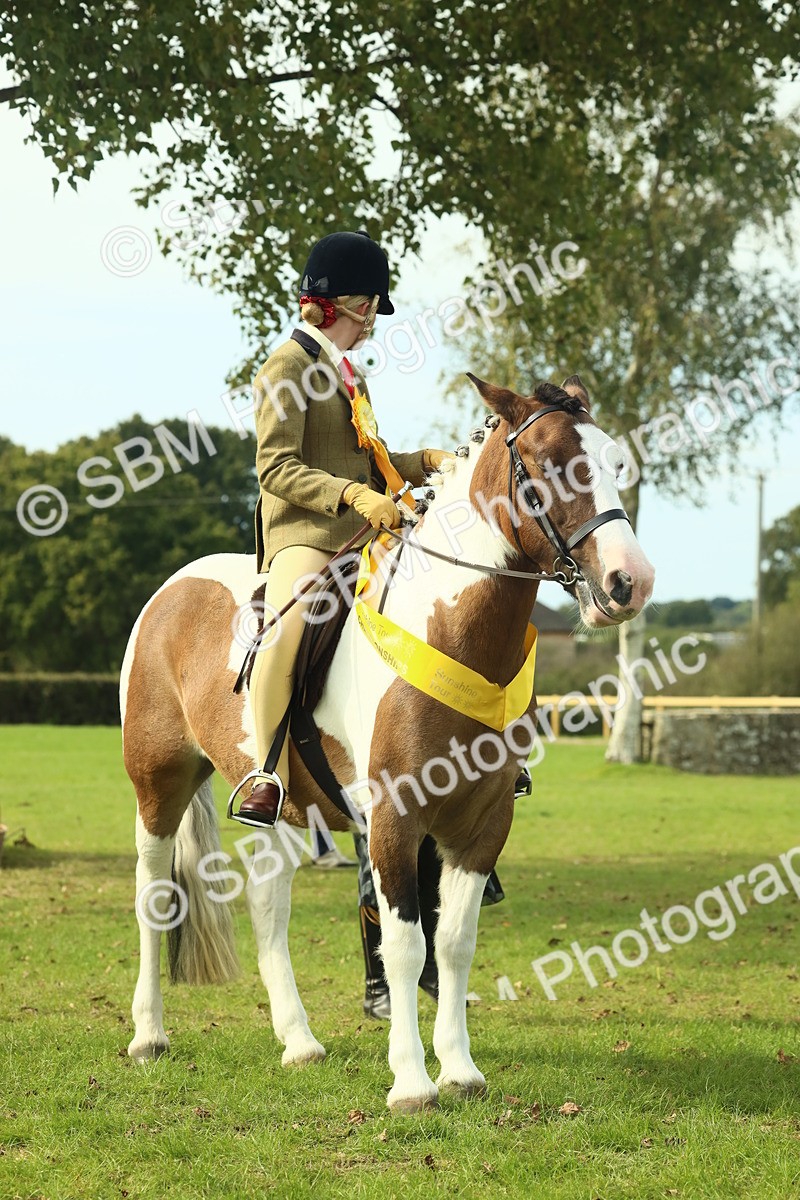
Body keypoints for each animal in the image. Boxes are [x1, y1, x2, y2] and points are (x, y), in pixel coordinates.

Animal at [121, 373, 655, 1112]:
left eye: (615, 463)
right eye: (549, 465)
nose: (630, 583)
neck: (449, 632)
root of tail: (173, 587)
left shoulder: (483, 823)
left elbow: (453, 942)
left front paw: (459, 1070)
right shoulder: (396, 821)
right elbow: (403, 943)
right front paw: (411, 1081)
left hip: (292, 807)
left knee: (268, 902)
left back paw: (299, 1042)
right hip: (158, 781)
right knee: (153, 894)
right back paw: (148, 1034)